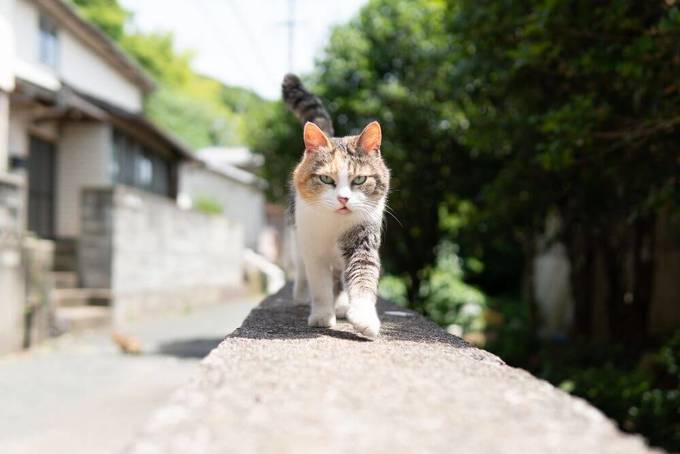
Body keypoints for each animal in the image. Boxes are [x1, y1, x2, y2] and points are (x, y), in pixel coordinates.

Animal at [282, 74, 388, 336]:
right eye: (326, 179)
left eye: (360, 180)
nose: (343, 199)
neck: (334, 224)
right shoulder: (313, 250)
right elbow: (320, 286)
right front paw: (321, 316)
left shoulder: (363, 239)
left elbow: (362, 279)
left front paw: (363, 318)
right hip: (295, 237)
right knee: (302, 271)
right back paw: (302, 296)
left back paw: (341, 305)